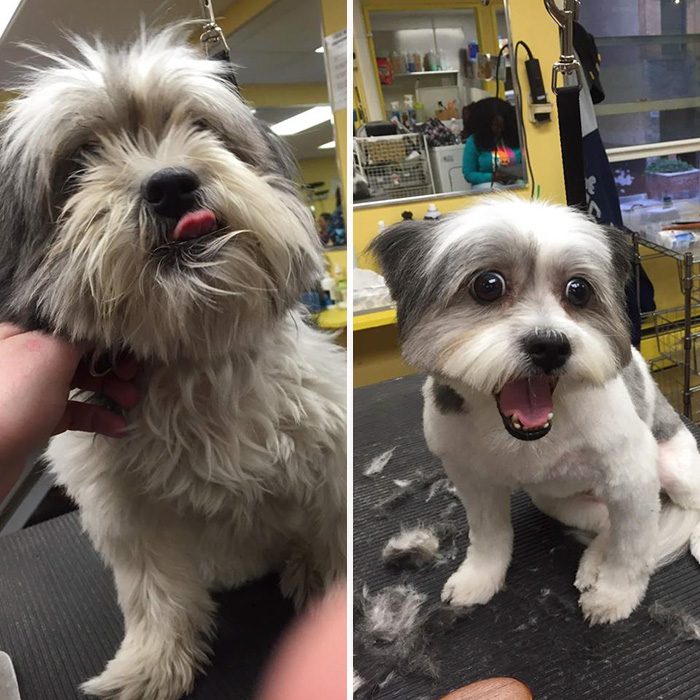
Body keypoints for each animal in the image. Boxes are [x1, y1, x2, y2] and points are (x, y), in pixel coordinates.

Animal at [0, 24, 348, 696]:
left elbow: (330, 533)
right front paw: (151, 662)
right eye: (80, 161)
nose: (170, 184)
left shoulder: (326, 455)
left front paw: (325, 590)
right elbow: (154, 594)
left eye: (200, 128)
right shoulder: (127, 513)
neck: (193, 351)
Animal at [374, 196, 700, 624]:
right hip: (558, 501)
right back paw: (592, 561)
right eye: (488, 285)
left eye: (578, 290)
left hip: (673, 469)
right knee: (607, 524)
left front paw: (615, 594)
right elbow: (489, 536)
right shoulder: (473, 480)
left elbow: (630, 551)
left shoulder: (632, 478)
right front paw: (479, 578)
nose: (550, 345)